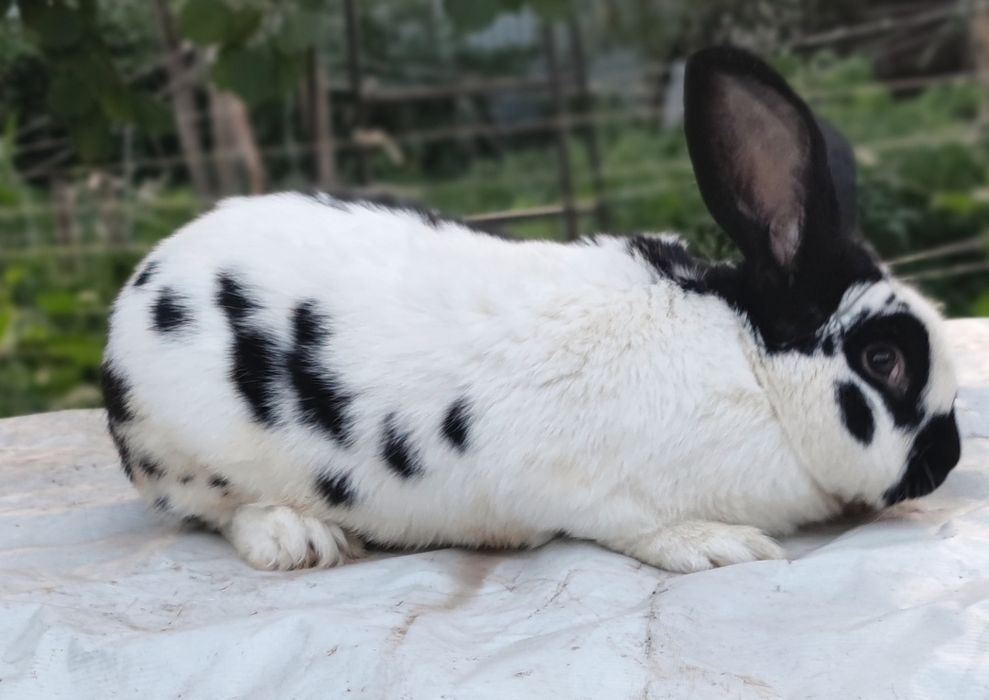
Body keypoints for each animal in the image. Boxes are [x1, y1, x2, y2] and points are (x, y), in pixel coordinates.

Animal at [100, 46, 961, 574]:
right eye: (884, 360)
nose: (948, 458)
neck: (754, 372)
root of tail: (141, 284)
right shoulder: (592, 490)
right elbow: (645, 529)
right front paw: (721, 548)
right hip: (187, 453)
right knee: (212, 512)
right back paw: (296, 537)